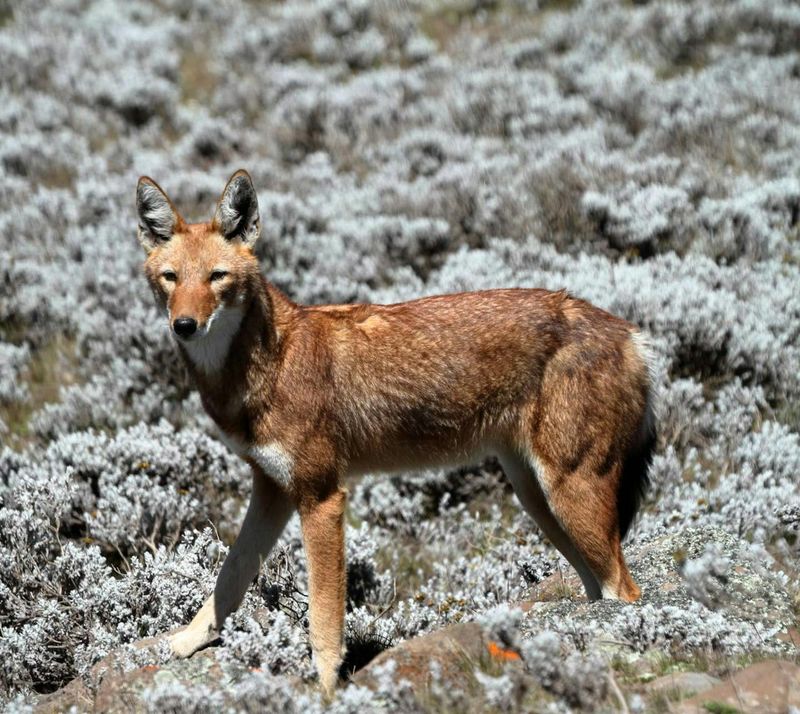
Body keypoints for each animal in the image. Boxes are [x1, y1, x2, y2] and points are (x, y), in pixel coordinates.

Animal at [136, 170, 656, 692]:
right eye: (171, 278)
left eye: (217, 277)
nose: (185, 325)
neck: (267, 362)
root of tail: (631, 334)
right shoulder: (273, 491)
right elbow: (230, 576)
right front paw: (185, 642)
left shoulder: (322, 497)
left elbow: (324, 618)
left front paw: (326, 690)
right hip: (539, 502)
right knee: (598, 588)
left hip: (569, 496)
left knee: (626, 592)